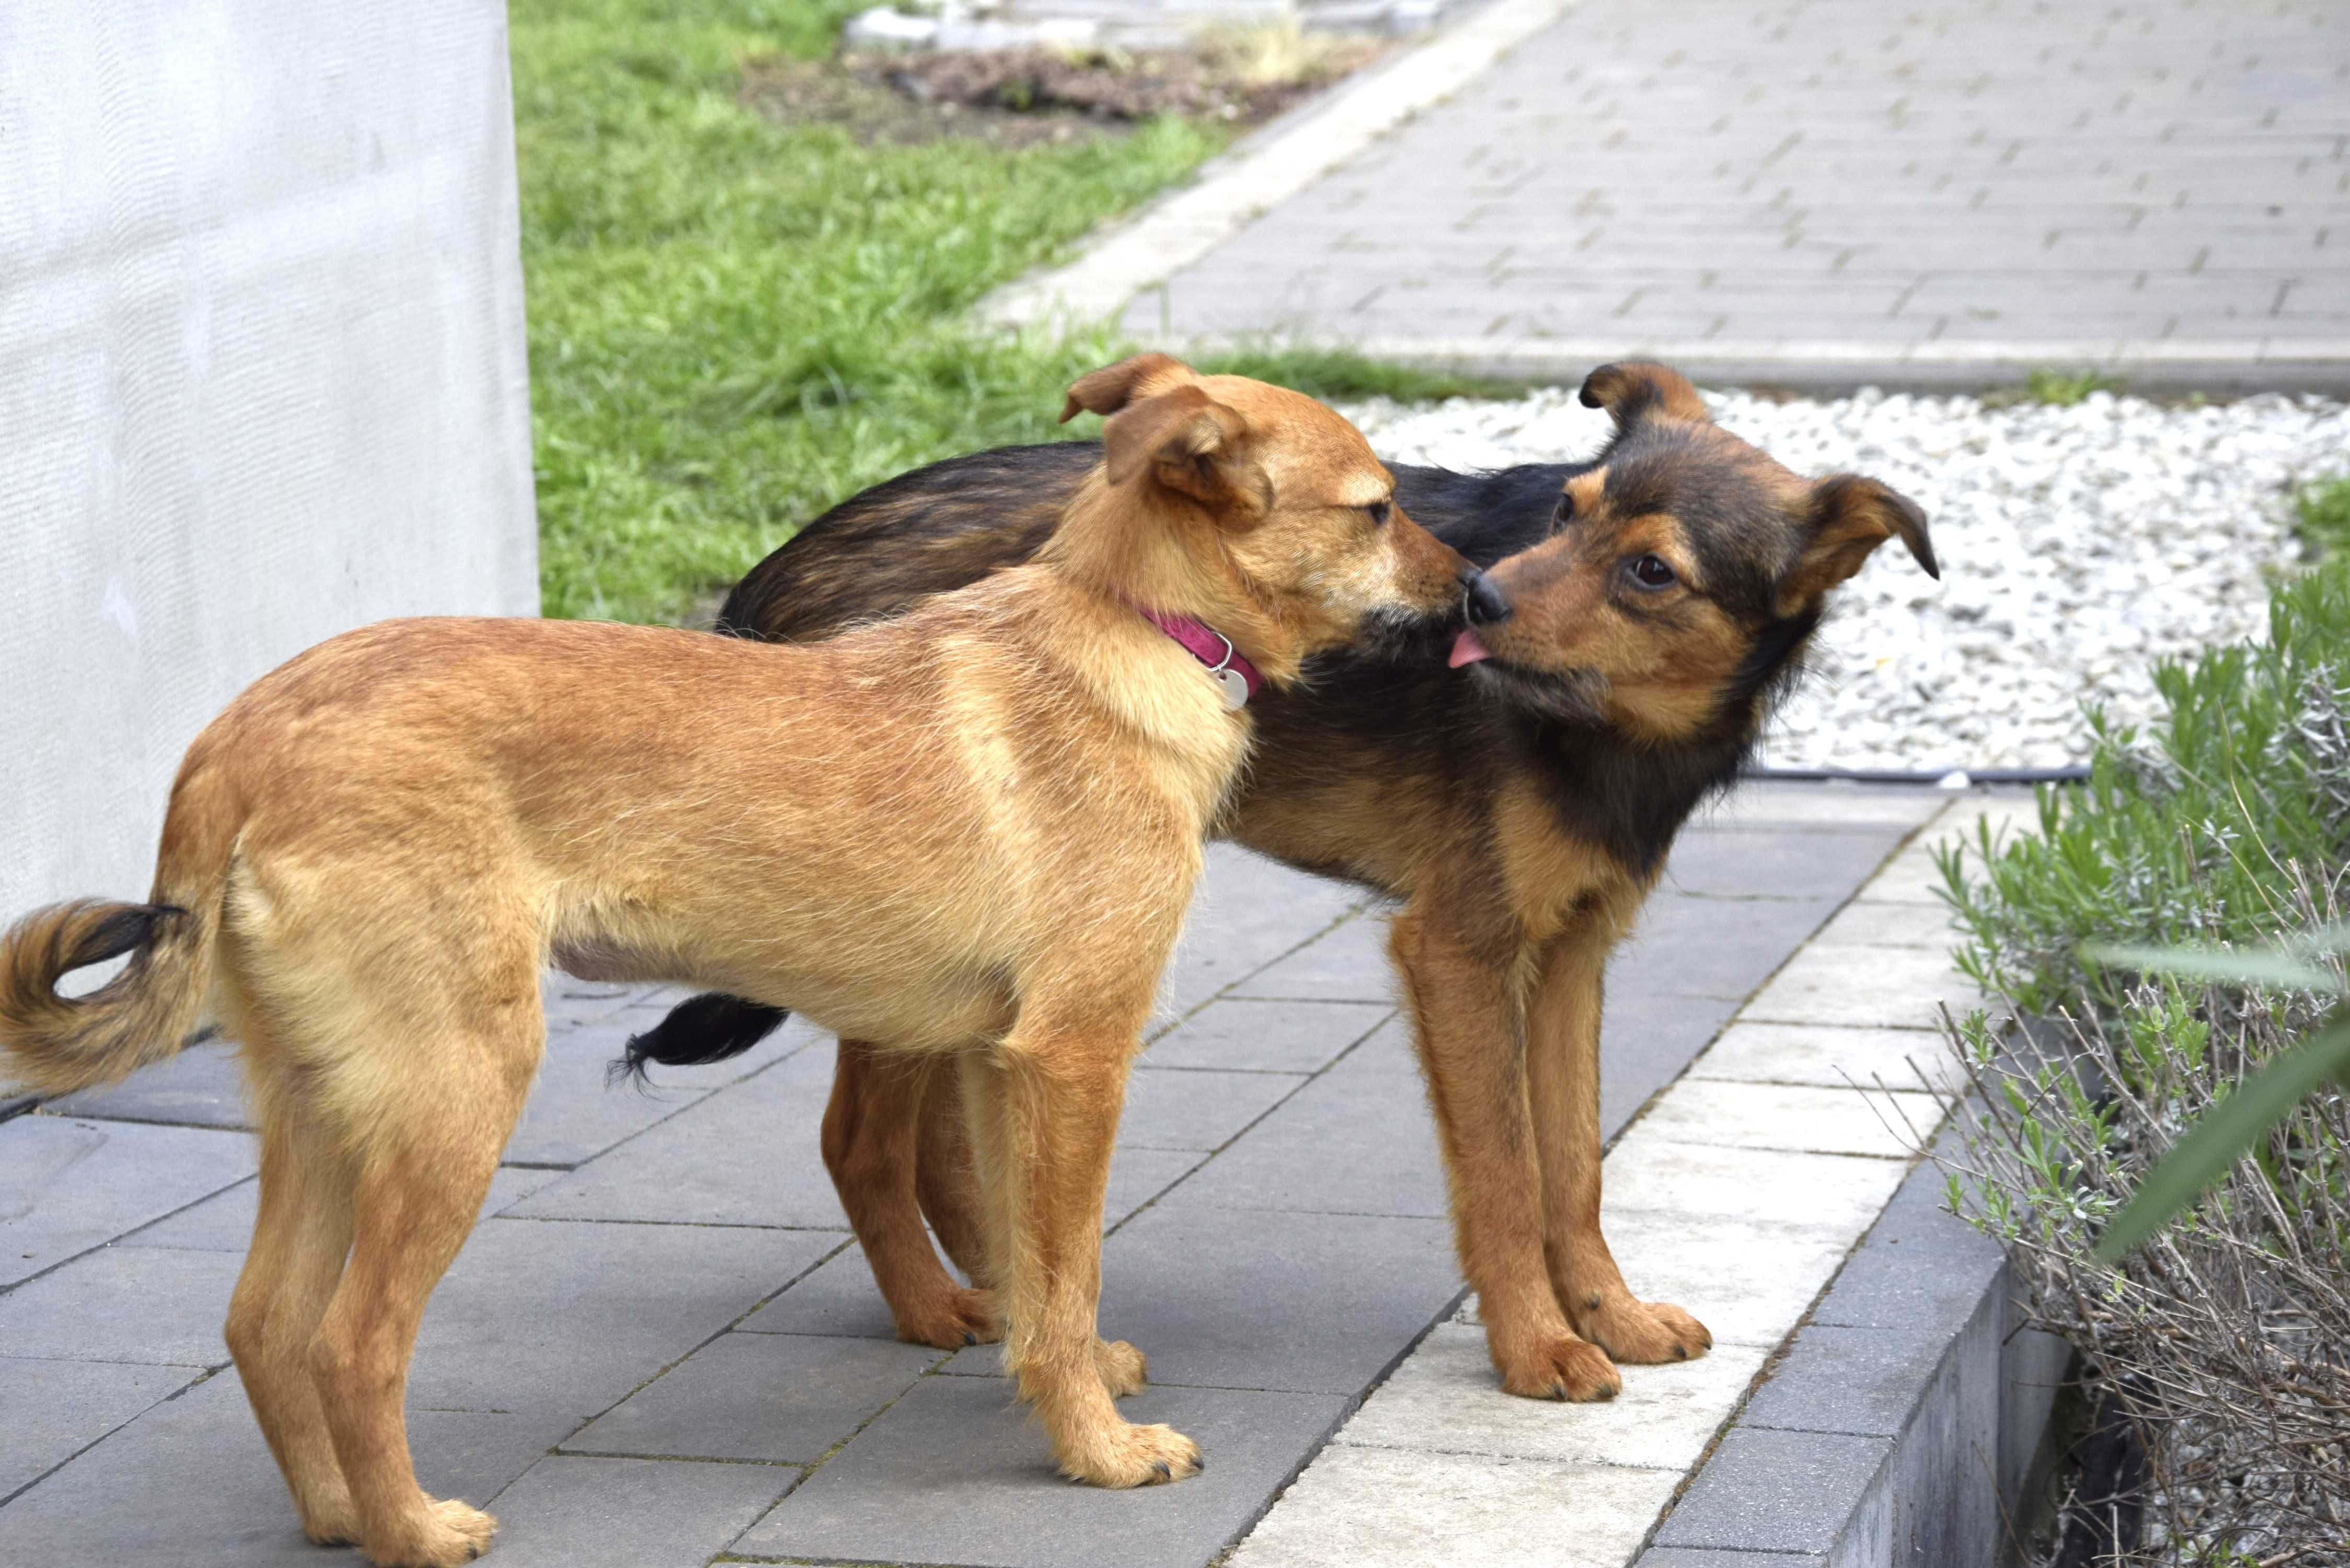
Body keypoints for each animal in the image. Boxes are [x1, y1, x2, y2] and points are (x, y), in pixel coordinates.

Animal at [0, 360, 1466, 1568]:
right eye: (1379, 509)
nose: (1479, 594)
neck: (1130, 624)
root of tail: (234, 742)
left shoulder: (1001, 1064)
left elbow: (1025, 1260)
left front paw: (1073, 1380)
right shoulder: (1075, 1058)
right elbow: (1059, 1264)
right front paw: (1098, 1453)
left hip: (321, 1100)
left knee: (261, 1321)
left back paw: (337, 1518)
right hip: (457, 1092)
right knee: (351, 1341)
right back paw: (414, 1532)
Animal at [634, 362, 1936, 1401]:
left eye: (1653, 571)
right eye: (1566, 512)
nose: (1477, 599)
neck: (1612, 727)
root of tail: (779, 569)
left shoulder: (1571, 954)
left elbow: (1571, 1168)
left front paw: (1608, 1316)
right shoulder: (1457, 952)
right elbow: (1504, 1176)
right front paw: (1535, 1351)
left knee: (941, 1142)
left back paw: (1003, 1293)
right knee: (857, 1140)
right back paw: (941, 1307)